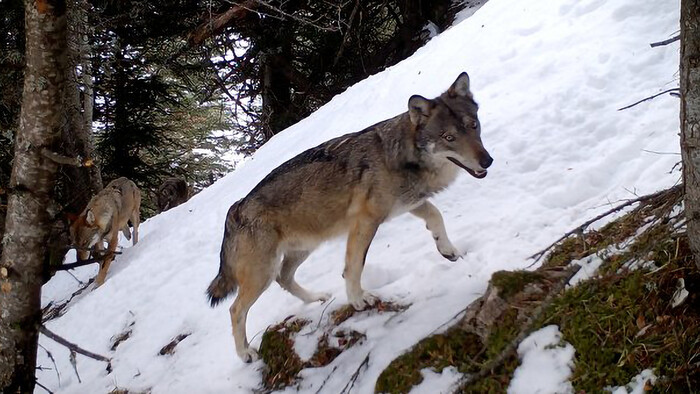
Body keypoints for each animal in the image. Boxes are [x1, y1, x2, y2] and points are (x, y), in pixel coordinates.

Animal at [206, 72, 492, 362]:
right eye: (449, 137)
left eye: (473, 126)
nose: (487, 161)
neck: (399, 155)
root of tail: (235, 210)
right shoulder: (366, 221)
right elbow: (354, 266)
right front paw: (357, 299)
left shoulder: (407, 204)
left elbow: (436, 216)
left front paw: (448, 250)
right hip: (263, 273)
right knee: (236, 309)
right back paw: (245, 353)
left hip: (301, 251)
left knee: (284, 278)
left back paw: (316, 298)